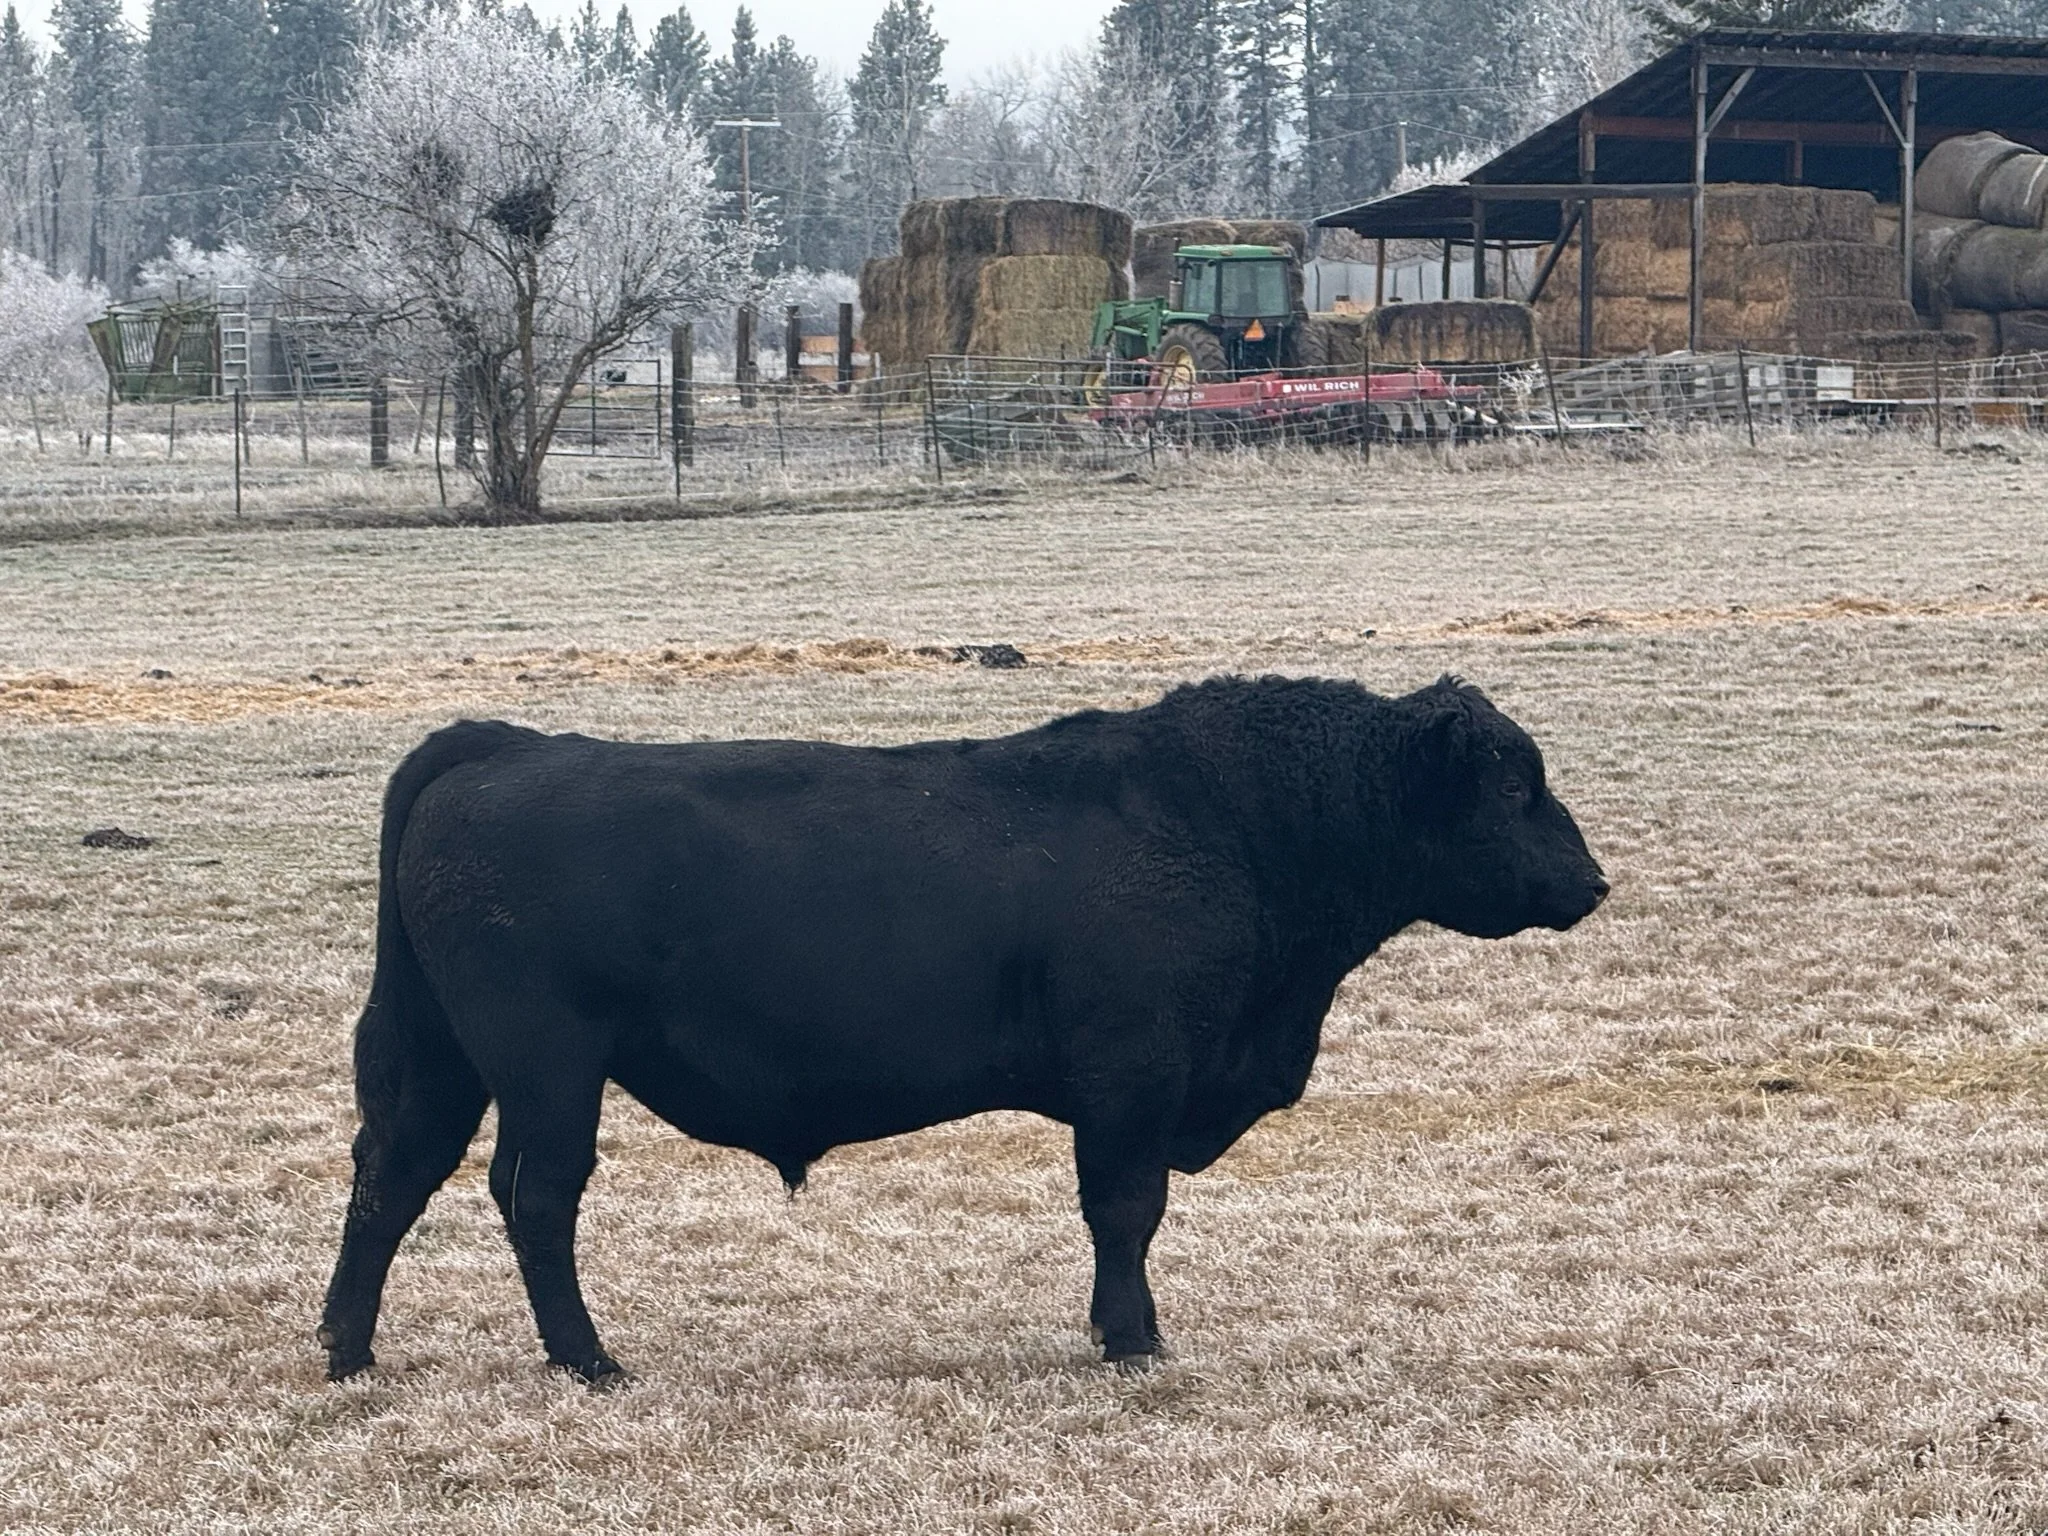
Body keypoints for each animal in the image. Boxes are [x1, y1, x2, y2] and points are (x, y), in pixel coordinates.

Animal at [318, 675, 1607, 1385]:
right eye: (1512, 786)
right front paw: (1132, 1341)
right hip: (548, 1068)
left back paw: (348, 1351)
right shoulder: (1132, 1077)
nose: (1591, 883)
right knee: (534, 1198)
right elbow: (1125, 1211)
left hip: (443, 1062)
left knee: (390, 1179)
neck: (1220, 819)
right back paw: (588, 1360)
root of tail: (507, 744)